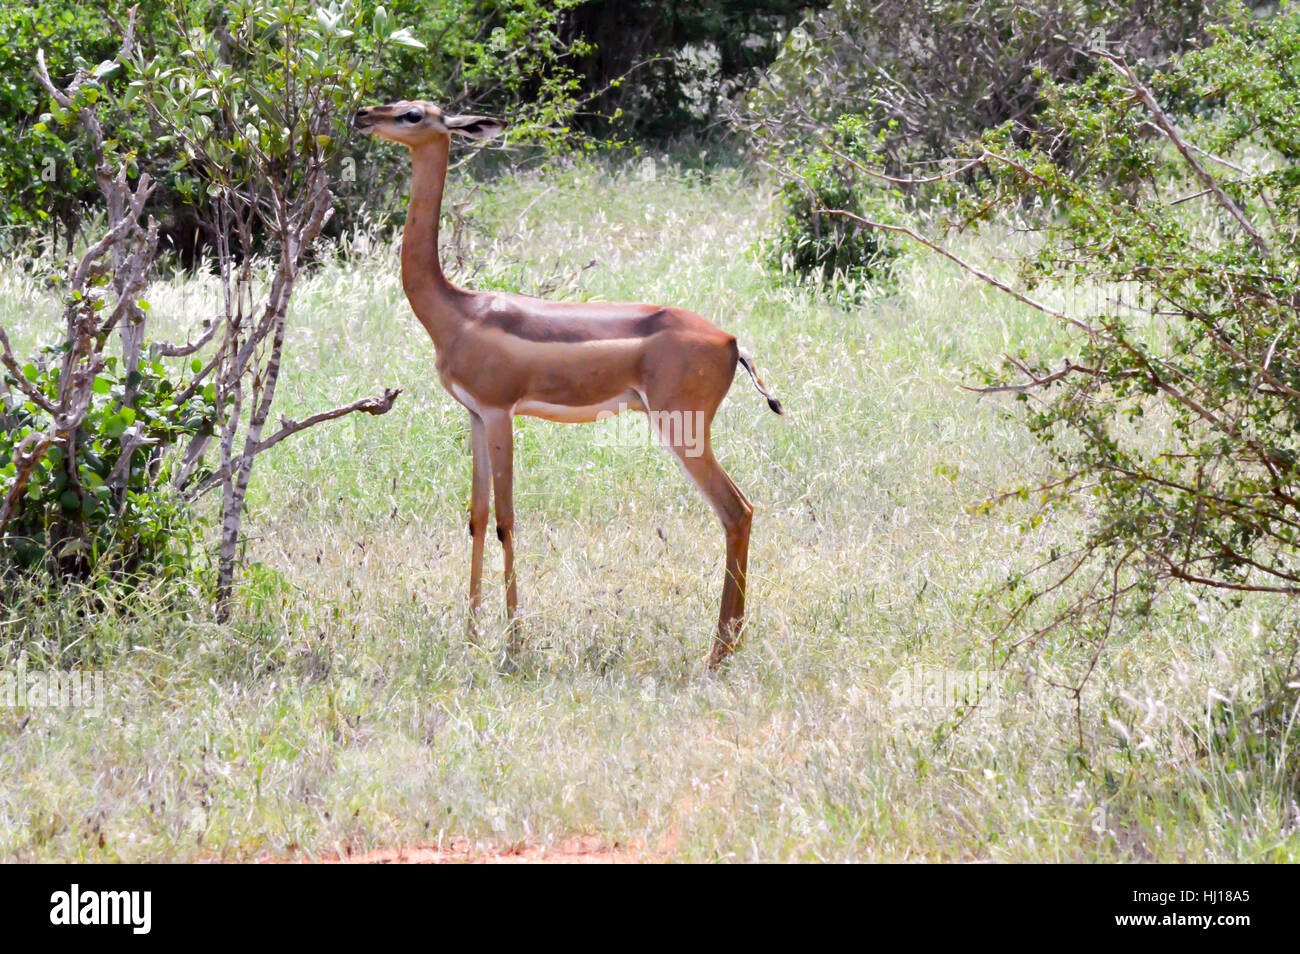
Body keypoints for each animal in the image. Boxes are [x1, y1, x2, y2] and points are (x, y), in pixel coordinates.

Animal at [353, 97, 780, 665]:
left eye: (414, 115)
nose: (362, 116)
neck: (458, 311)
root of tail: (732, 342)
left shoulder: (499, 413)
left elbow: (506, 520)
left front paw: (515, 645)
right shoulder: (473, 415)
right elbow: (476, 516)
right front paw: (470, 638)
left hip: (682, 428)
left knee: (737, 510)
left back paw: (718, 655)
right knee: (737, 513)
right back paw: (724, 649)